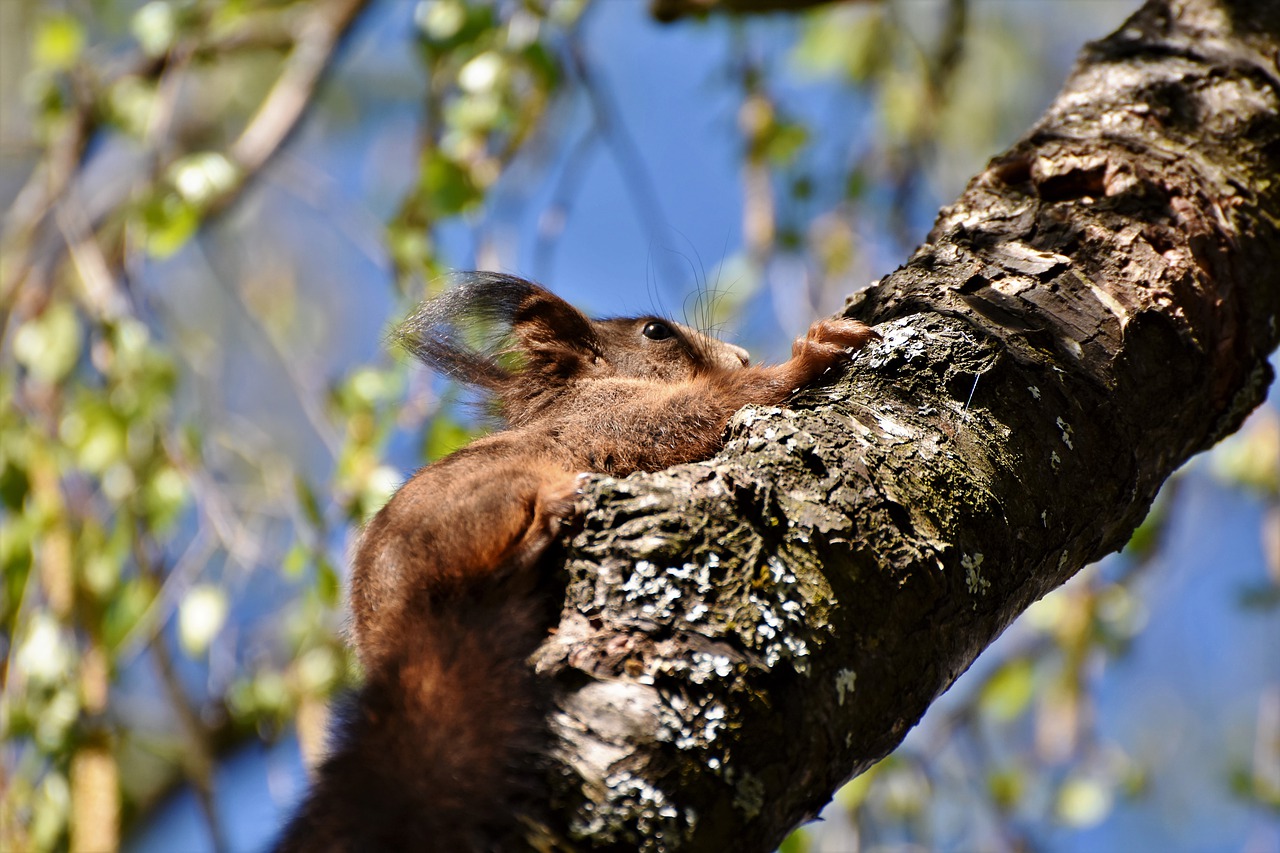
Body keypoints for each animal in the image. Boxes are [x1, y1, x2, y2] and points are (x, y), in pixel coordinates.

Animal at [275, 274, 880, 850]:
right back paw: (547, 525)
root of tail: (404, 631)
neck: (584, 391)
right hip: (490, 502)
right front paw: (812, 349)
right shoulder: (615, 416)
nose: (743, 355)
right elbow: (694, 413)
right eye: (655, 332)